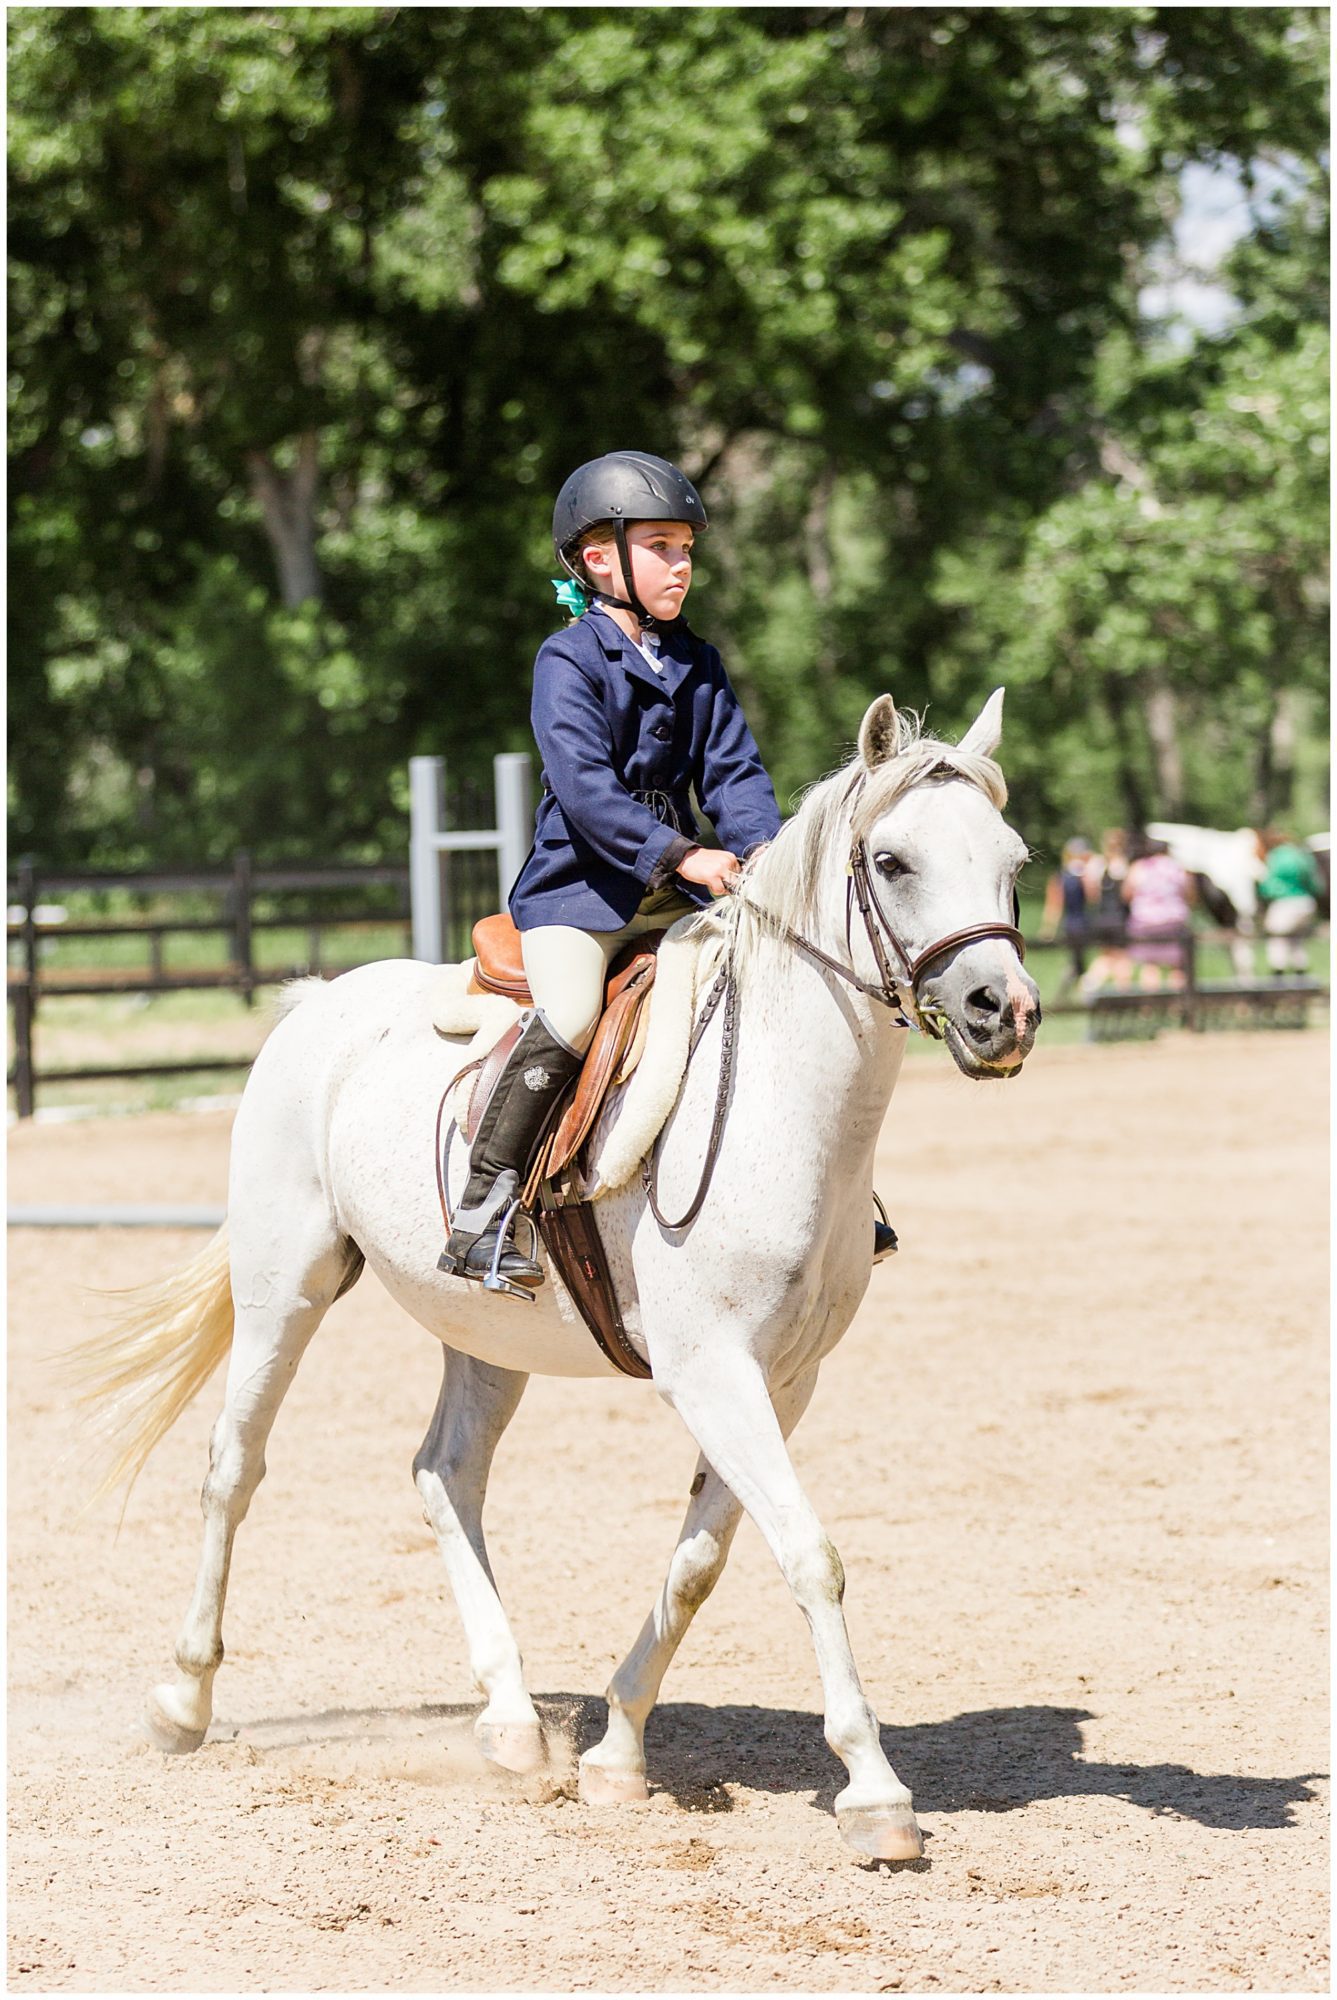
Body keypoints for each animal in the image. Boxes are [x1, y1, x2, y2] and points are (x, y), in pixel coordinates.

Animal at [78, 688, 1040, 1856]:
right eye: (892, 861)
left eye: (1012, 860)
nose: (1004, 1012)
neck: (780, 1101)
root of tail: (318, 1002)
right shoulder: (712, 1369)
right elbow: (808, 1553)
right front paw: (873, 1791)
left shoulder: (781, 1380)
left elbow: (699, 1562)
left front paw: (615, 1753)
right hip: (285, 1284)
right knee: (233, 1466)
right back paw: (182, 1701)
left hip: (486, 1333)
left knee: (445, 1474)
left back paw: (508, 1722)